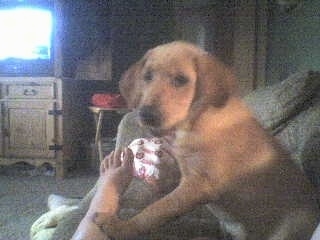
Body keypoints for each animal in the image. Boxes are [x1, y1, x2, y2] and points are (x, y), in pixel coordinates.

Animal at [98, 41, 320, 240]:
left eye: (180, 80)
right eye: (147, 77)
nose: (146, 114)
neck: (195, 122)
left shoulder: (198, 185)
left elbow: (156, 210)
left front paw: (120, 227)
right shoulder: (185, 172)